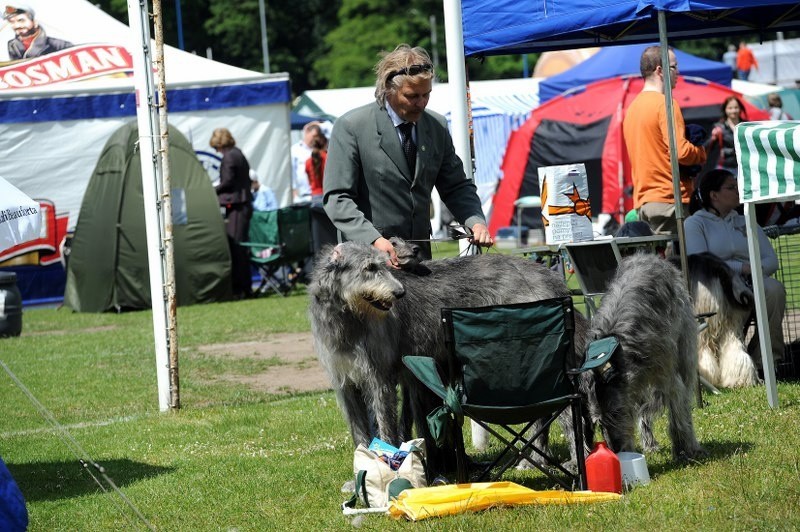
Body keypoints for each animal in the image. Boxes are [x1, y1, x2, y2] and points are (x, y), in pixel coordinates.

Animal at [306, 240, 588, 470]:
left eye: (384, 265)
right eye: (369, 267)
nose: (399, 293)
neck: (347, 316)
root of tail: (550, 277)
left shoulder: (379, 377)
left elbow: (385, 426)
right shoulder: (345, 382)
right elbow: (359, 432)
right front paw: (360, 472)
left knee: (564, 412)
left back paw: (578, 462)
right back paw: (536, 460)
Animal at [580, 254, 708, 462]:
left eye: (617, 412)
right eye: (599, 422)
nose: (616, 449)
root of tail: (647, 256)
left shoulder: (666, 374)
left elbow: (677, 409)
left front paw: (685, 449)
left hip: (684, 341)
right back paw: (649, 442)